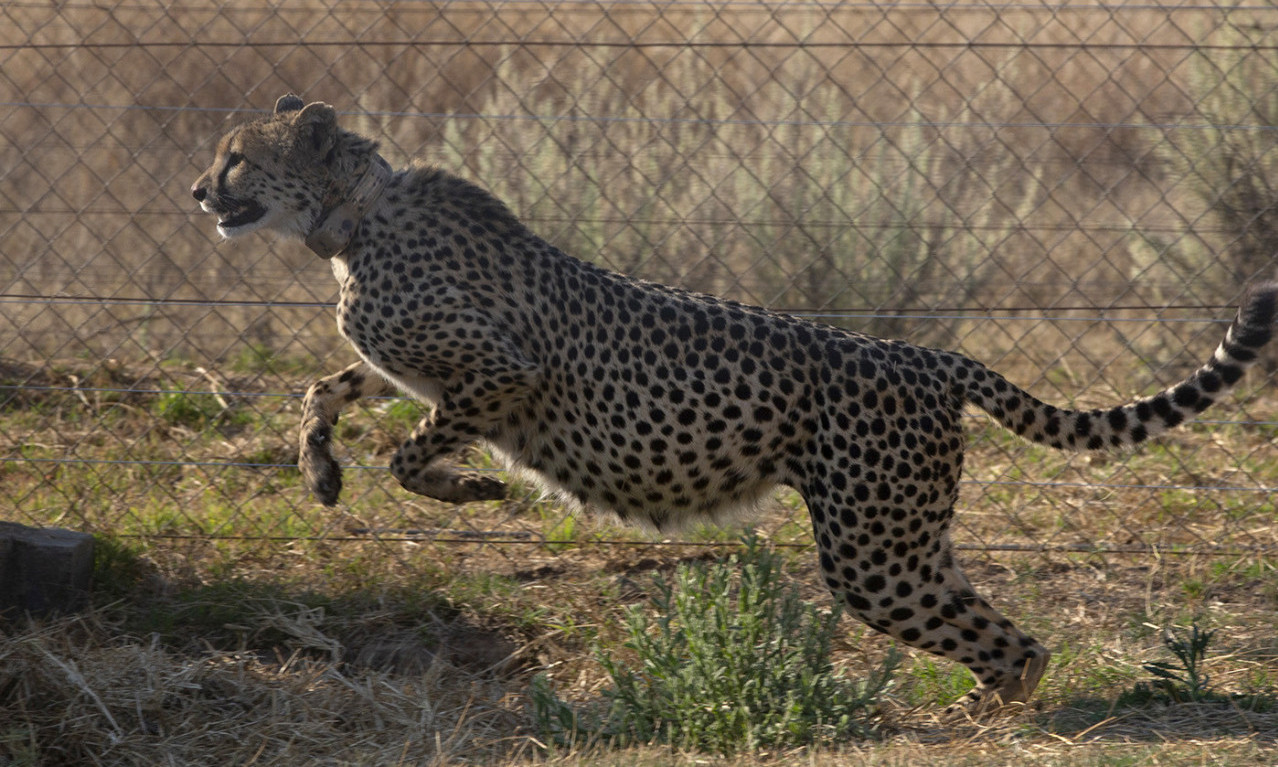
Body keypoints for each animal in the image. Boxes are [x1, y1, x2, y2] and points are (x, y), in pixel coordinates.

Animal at [191, 95, 1278, 710]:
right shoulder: (413, 368)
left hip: (874, 553)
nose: (200, 192)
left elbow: (413, 450)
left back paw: (996, 716)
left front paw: (472, 494)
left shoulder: (506, 375)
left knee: (1011, 641)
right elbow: (325, 388)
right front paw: (320, 471)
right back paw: (992, 710)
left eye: (237, 156)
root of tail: (927, 353)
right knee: (1006, 632)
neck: (347, 219)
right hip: (907, 540)